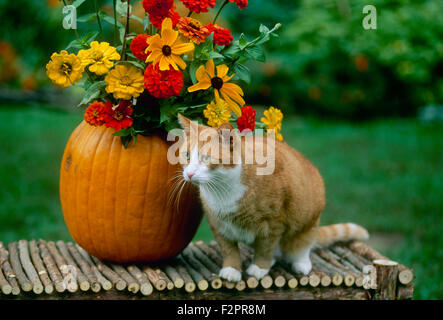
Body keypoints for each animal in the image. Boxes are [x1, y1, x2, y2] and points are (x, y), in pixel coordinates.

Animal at [176, 114, 368, 280]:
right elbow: (228, 249)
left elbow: (265, 248)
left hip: (308, 223)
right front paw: (232, 269)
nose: (189, 174)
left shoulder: (273, 223)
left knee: (302, 246)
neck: (222, 191)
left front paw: (260, 267)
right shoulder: (218, 224)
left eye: (206, 158)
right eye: (187, 155)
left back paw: (301, 263)